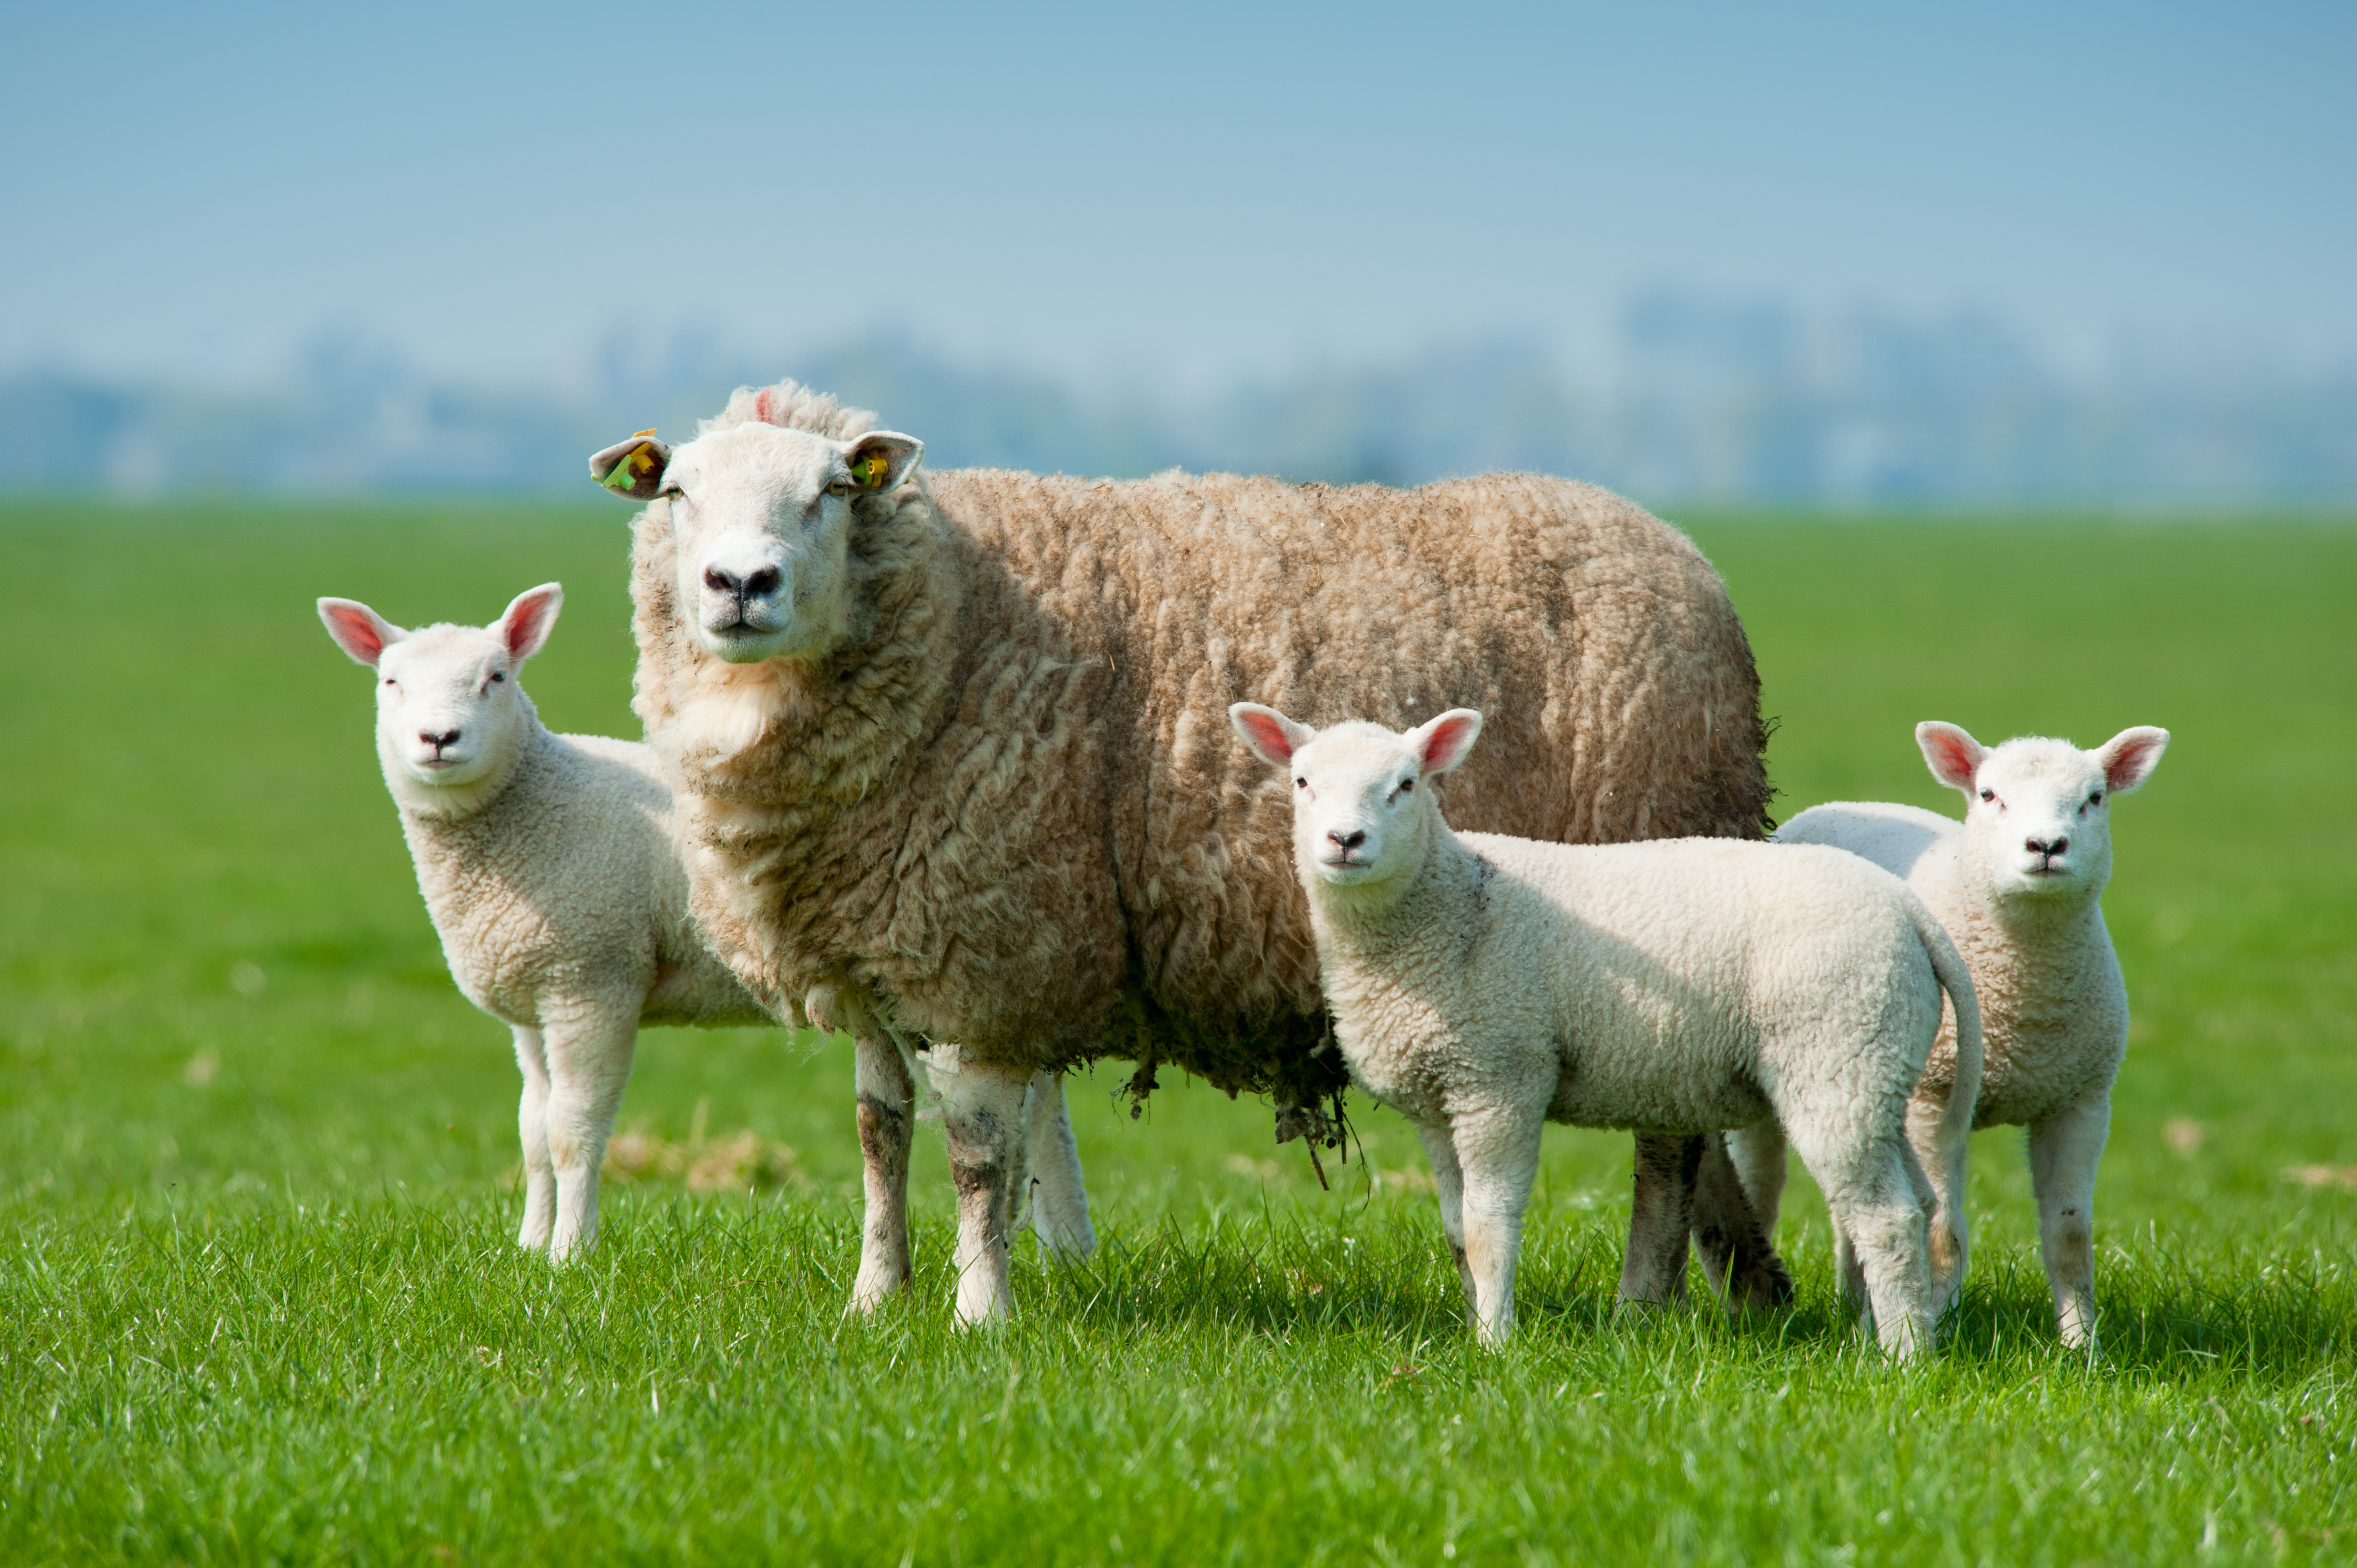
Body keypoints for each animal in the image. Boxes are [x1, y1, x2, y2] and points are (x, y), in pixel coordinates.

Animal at [590, 378, 1781, 1324]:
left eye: (834, 492)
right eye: (677, 493)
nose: (742, 586)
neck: (957, 619)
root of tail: (1679, 552)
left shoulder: (987, 953)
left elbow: (978, 1159)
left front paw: (979, 1317)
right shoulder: (878, 954)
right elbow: (880, 1136)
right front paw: (876, 1299)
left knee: (1667, 1140)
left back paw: (1642, 1302)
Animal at [1228, 702, 1984, 1356]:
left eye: (1405, 785)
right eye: (1301, 782)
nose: (1344, 841)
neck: (1446, 905)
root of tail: (1908, 911)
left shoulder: (1500, 1075)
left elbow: (1488, 1225)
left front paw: (1494, 1343)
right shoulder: (1437, 1098)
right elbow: (1453, 1228)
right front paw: (1473, 1321)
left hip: (1837, 1054)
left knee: (1883, 1217)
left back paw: (1904, 1356)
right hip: (1876, 1065)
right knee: (1917, 1203)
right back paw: (1887, 1332)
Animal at [1713, 721, 2169, 1347]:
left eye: (2094, 798)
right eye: (1988, 795)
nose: (2046, 847)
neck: (2025, 1000)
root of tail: (1833, 807)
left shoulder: (2079, 1101)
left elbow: (2070, 1238)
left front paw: (2081, 1349)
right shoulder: (1932, 1104)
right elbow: (1942, 1234)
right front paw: (1938, 1325)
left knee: (1847, 1212)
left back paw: (1853, 1306)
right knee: (1762, 1180)